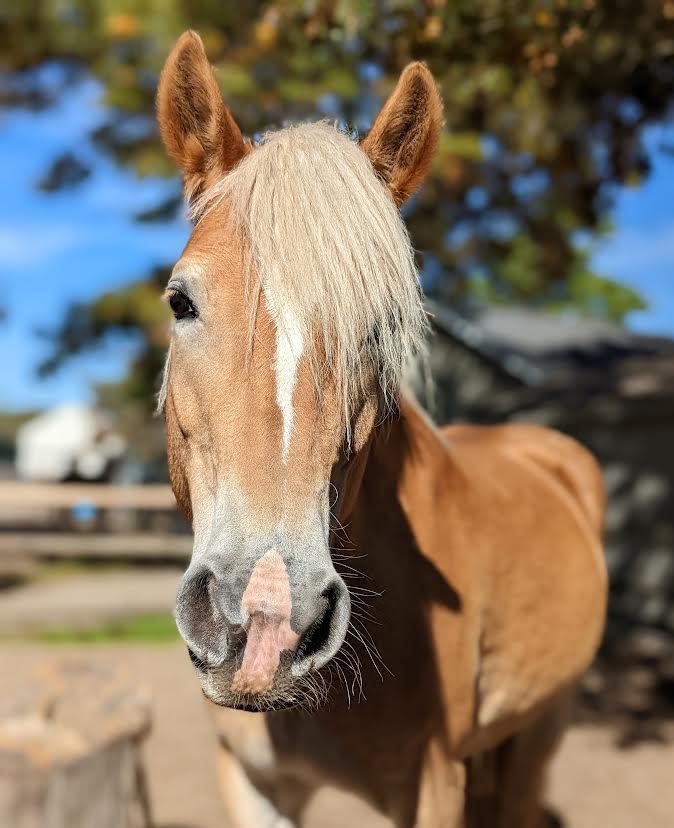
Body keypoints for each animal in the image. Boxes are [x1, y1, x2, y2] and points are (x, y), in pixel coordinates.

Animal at [155, 30, 607, 827]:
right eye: (182, 301)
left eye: (378, 330)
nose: (267, 616)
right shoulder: (251, 781)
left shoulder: (434, 786)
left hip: (540, 730)